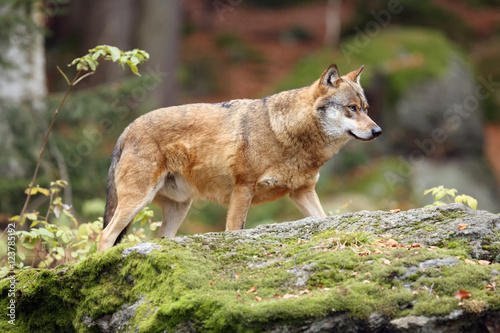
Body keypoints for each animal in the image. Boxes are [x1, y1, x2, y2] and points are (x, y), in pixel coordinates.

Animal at [95, 62, 380, 250]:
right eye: (351, 108)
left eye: (366, 108)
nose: (378, 131)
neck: (286, 133)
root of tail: (127, 129)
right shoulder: (243, 188)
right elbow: (234, 231)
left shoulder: (302, 192)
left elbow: (323, 219)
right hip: (137, 201)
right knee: (106, 234)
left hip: (179, 207)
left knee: (160, 238)